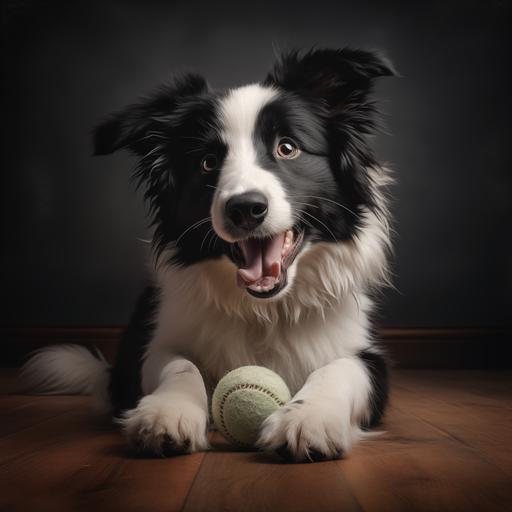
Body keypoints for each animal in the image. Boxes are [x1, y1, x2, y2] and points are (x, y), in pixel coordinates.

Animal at [21, 48, 396, 462]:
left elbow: (339, 368)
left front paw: (307, 417)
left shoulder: (366, 355)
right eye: (208, 162)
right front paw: (167, 413)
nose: (245, 208)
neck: (264, 311)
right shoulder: (160, 341)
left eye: (287, 147)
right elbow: (180, 366)